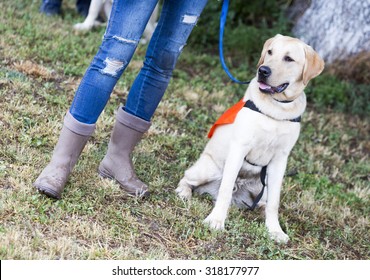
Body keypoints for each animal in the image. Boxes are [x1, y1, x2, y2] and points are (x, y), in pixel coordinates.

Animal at [176, 34, 324, 243]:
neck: (276, 109)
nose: (263, 70)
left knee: (263, 201)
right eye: (270, 52)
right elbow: (225, 190)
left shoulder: (280, 160)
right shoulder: (239, 148)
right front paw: (216, 220)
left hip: (262, 186)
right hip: (209, 169)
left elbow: (274, 202)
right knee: (188, 178)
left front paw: (274, 230)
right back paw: (184, 192)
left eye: (288, 58)